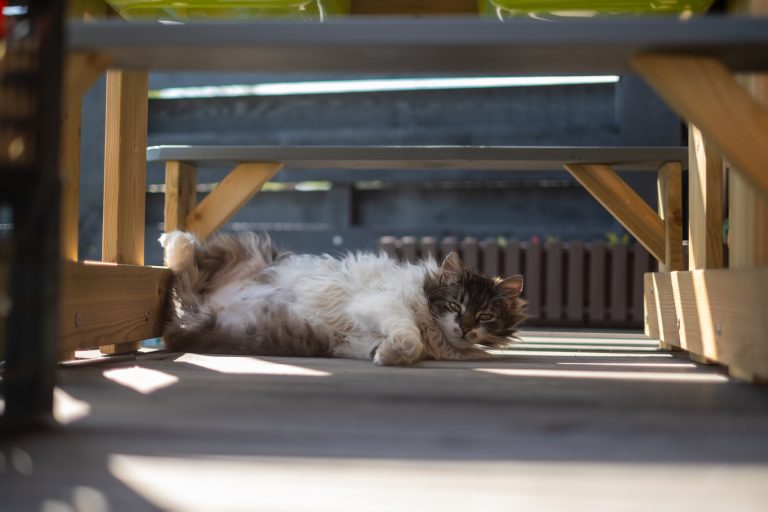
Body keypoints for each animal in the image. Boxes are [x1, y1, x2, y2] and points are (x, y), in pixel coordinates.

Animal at [159, 230, 524, 366]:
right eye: (454, 305)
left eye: (485, 316)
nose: (465, 328)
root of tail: (206, 308)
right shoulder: (380, 303)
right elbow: (410, 334)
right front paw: (399, 349)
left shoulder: (353, 339)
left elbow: (393, 345)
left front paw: (386, 354)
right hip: (248, 251)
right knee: (186, 269)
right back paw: (176, 239)